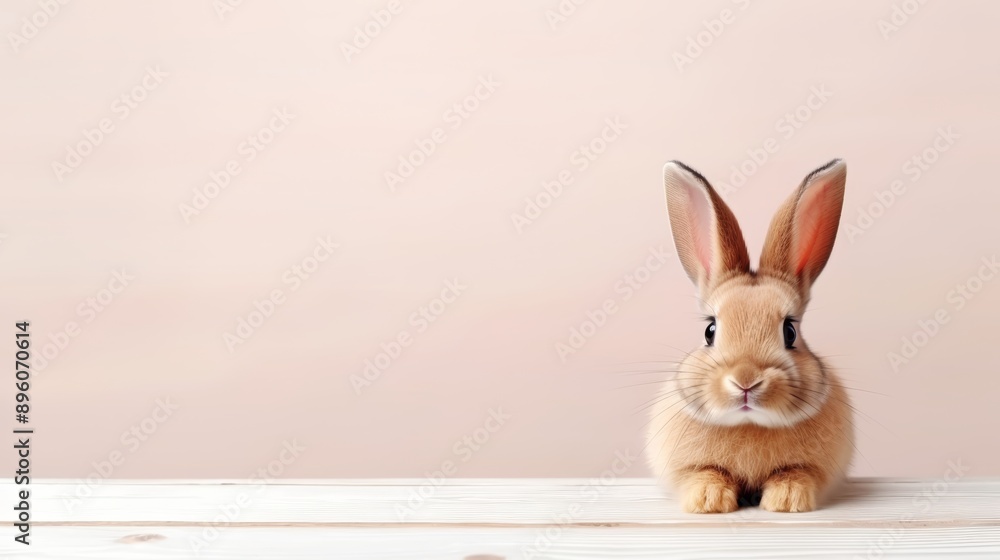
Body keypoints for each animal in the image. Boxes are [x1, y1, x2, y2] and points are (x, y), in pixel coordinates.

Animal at [646, 159, 854, 513]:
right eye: (710, 330)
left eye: (790, 331)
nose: (746, 380)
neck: (750, 423)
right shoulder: (688, 465)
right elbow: (705, 472)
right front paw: (709, 501)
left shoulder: (813, 468)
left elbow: (796, 473)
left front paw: (787, 501)